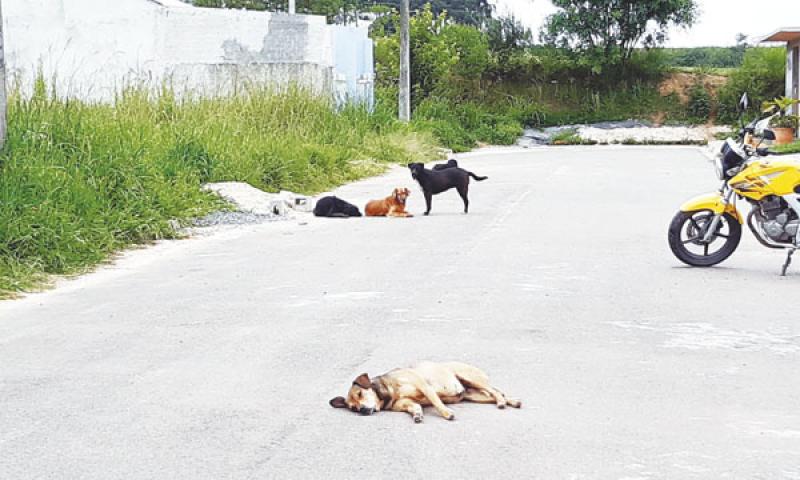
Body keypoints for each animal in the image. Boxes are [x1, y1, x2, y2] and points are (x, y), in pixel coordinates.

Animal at [328, 362, 520, 422]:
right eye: (353, 408)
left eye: (360, 394)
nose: (361, 410)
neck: (389, 392)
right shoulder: (404, 403)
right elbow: (414, 407)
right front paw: (417, 414)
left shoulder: (423, 386)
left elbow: (436, 401)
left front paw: (446, 413)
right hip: (474, 396)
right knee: (494, 394)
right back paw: (511, 401)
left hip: (470, 377)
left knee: (493, 390)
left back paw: (503, 402)